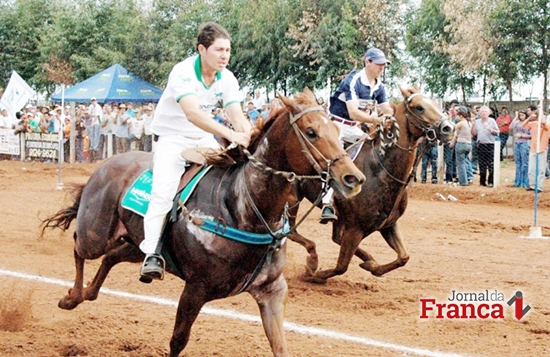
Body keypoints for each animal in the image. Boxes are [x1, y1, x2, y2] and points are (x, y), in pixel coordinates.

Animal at [42, 87, 366, 356]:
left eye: (336, 129)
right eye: (311, 132)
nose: (353, 178)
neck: (242, 209)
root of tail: (105, 164)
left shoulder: (272, 291)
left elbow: (280, 346)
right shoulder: (195, 290)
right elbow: (178, 340)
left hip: (137, 245)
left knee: (111, 258)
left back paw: (86, 294)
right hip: (95, 234)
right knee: (79, 247)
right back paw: (72, 296)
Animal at [292, 86, 454, 284]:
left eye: (434, 104)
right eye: (419, 107)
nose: (448, 128)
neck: (381, 170)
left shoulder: (388, 224)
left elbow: (403, 257)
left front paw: (371, 265)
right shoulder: (355, 228)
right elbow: (341, 266)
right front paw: (314, 273)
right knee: (291, 231)